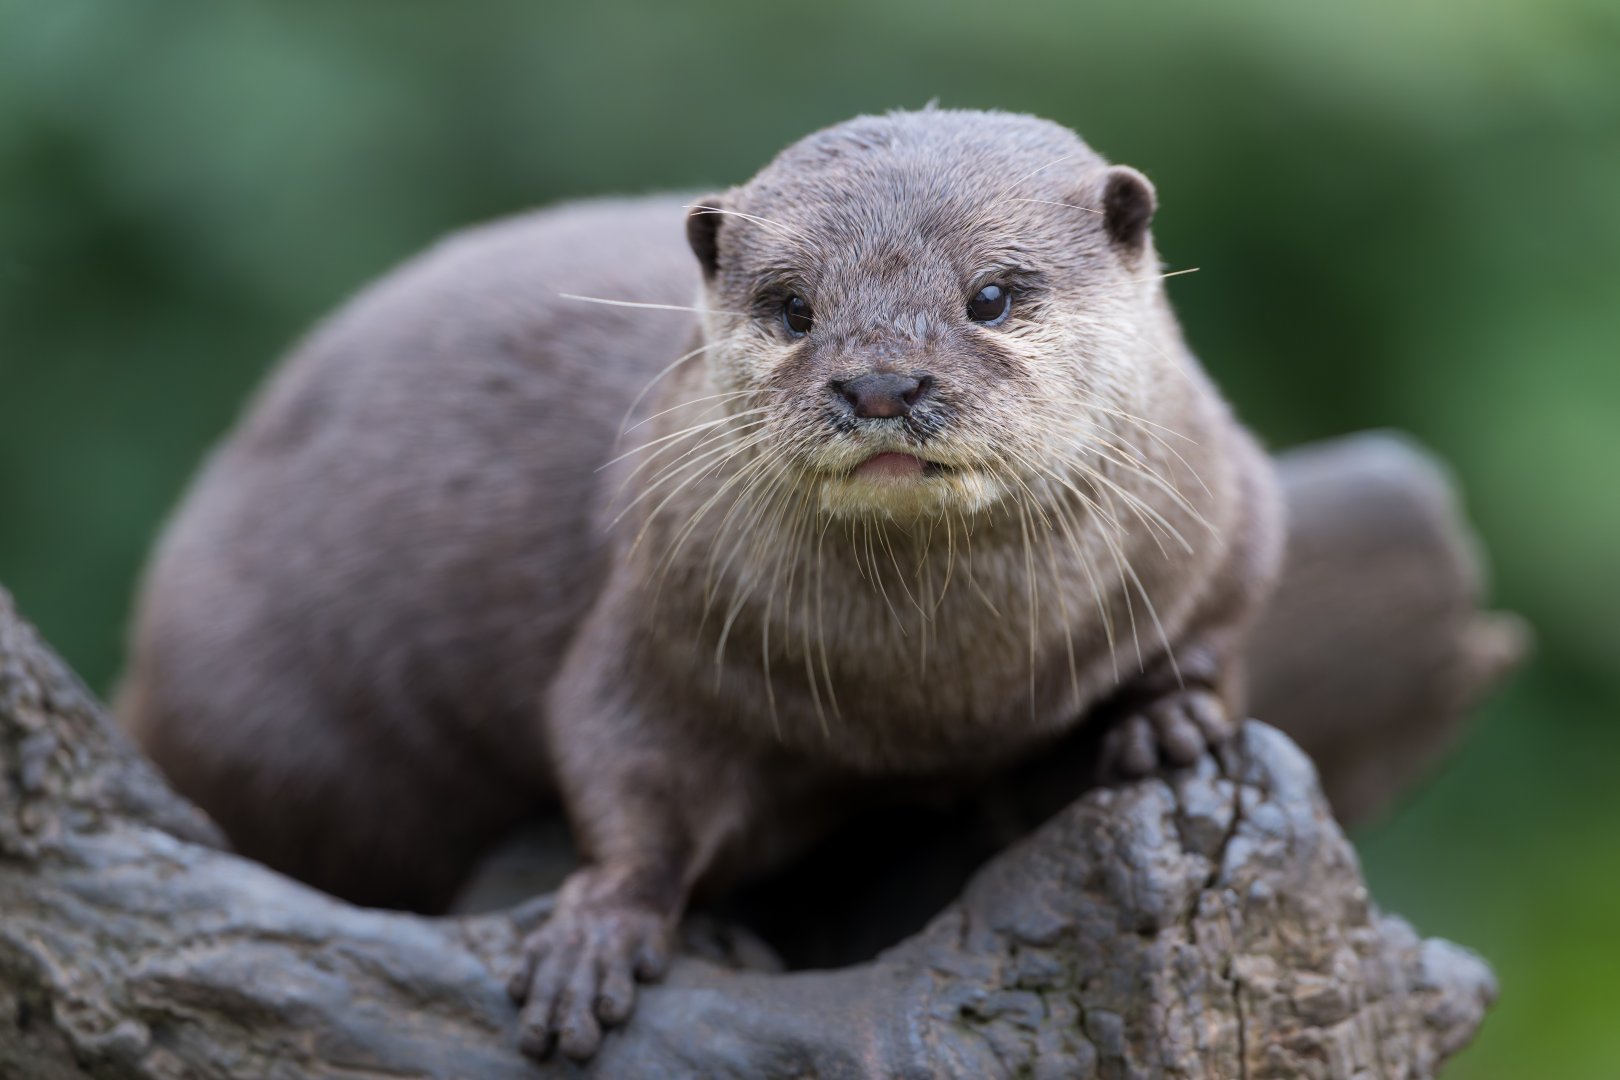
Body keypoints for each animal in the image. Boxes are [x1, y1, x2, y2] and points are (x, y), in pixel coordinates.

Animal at [117, 109, 1283, 1060]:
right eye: (793, 307)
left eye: (991, 296)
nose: (880, 382)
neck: (937, 698)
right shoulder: (659, 620)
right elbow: (625, 764)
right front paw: (597, 932)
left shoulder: (1231, 507)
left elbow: (1224, 626)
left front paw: (1171, 723)